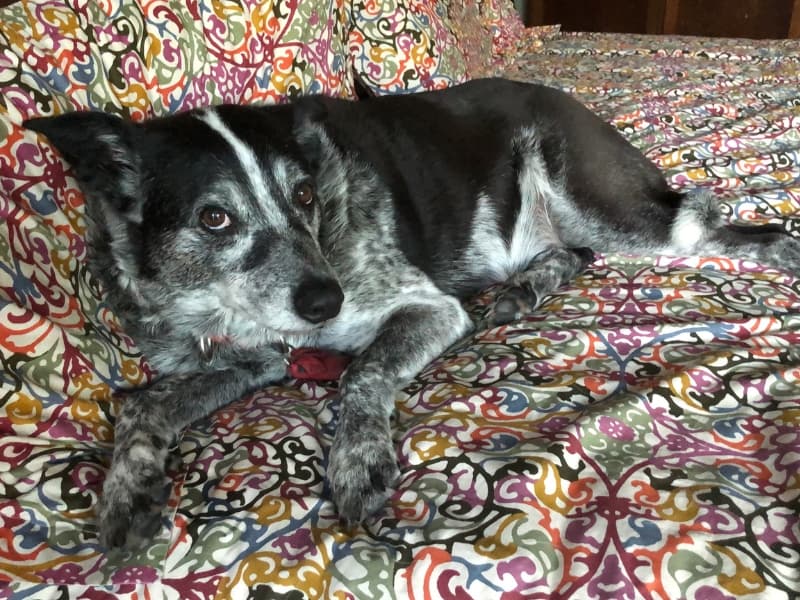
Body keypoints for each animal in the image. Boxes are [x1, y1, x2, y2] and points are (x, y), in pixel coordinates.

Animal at [26, 76, 800, 548]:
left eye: (305, 195)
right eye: (213, 218)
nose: (326, 299)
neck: (227, 311)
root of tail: (572, 102)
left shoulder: (428, 308)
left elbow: (360, 373)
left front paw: (358, 458)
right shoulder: (244, 363)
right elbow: (141, 405)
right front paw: (127, 490)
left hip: (620, 212)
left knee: (720, 226)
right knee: (572, 254)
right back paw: (525, 287)